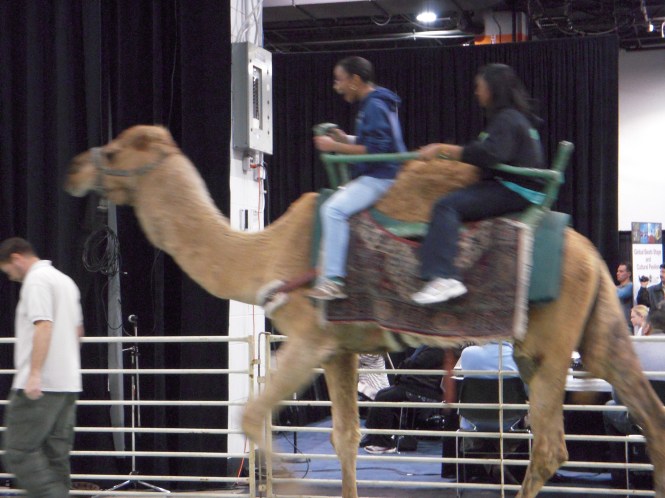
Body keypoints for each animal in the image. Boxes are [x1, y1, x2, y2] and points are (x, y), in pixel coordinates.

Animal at [65, 125, 665, 498]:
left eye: (114, 152)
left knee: (550, 446)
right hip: (596, 330)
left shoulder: (308, 338)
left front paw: (292, 484)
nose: (75, 167)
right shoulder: (341, 349)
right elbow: (345, 438)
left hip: (545, 344)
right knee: (647, 414)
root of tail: (587, 253)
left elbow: (254, 415)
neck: (267, 253)